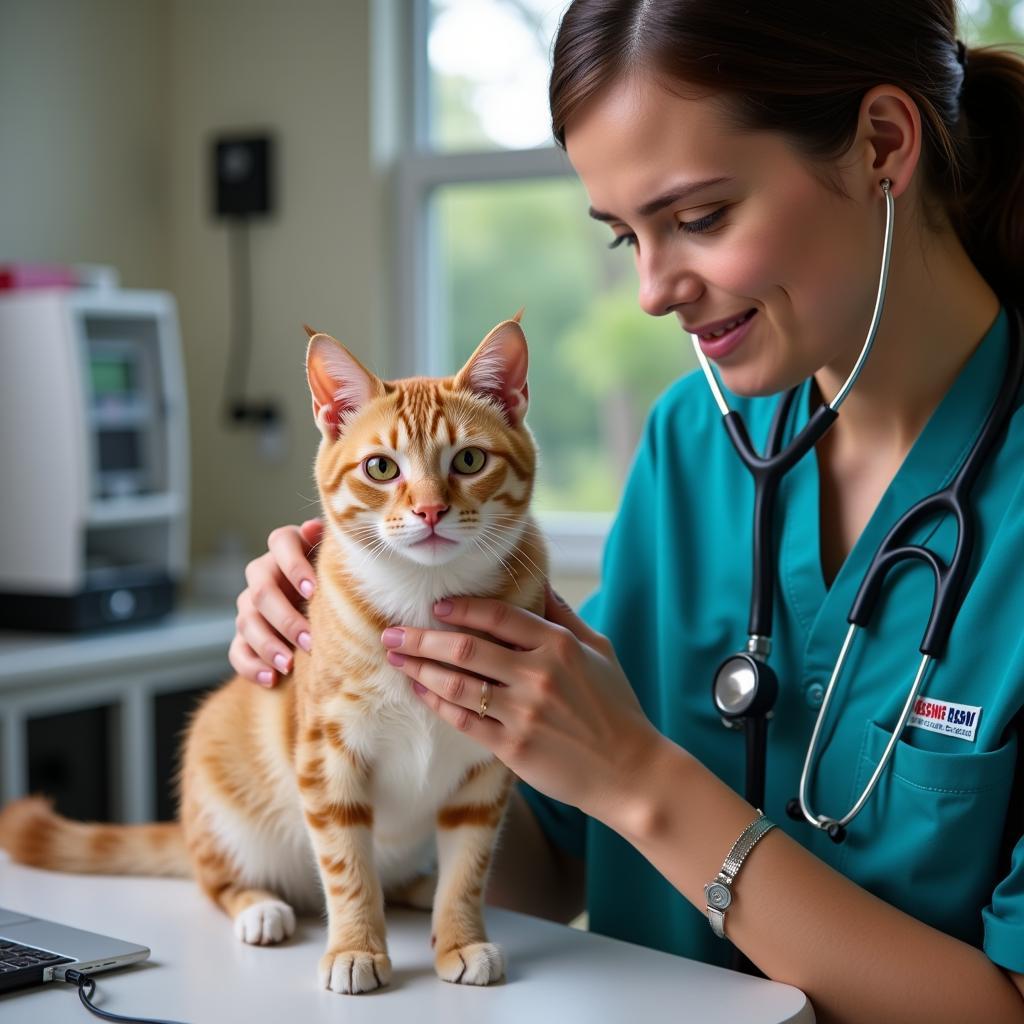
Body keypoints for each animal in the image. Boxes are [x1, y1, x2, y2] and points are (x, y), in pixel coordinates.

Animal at [0, 315, 548, 995]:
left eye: (469, 459)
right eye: (381, 467)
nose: (429, 510)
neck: (424, 596)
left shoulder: (484, 770)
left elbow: (469, 869)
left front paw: (461, 938)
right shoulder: (327, 753)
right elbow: (346, 867)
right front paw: (355, 947)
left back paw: (420, 887)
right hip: (220, 794)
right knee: (219, 881)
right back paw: (261, 908)